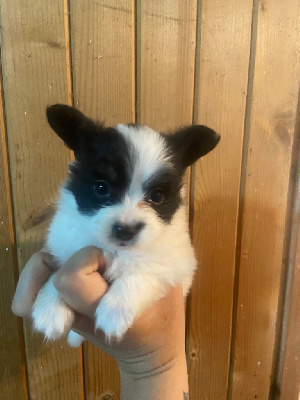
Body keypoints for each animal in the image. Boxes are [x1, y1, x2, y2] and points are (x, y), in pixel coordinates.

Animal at [32, 104, 220, 346]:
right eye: (101, 188)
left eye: (157, 197)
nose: (126, 230)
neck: (116, 250)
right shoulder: (66, 247)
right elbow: (58, 273)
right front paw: (48, 308)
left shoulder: (175, 264)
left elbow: (141, 272)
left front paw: (113, 312)